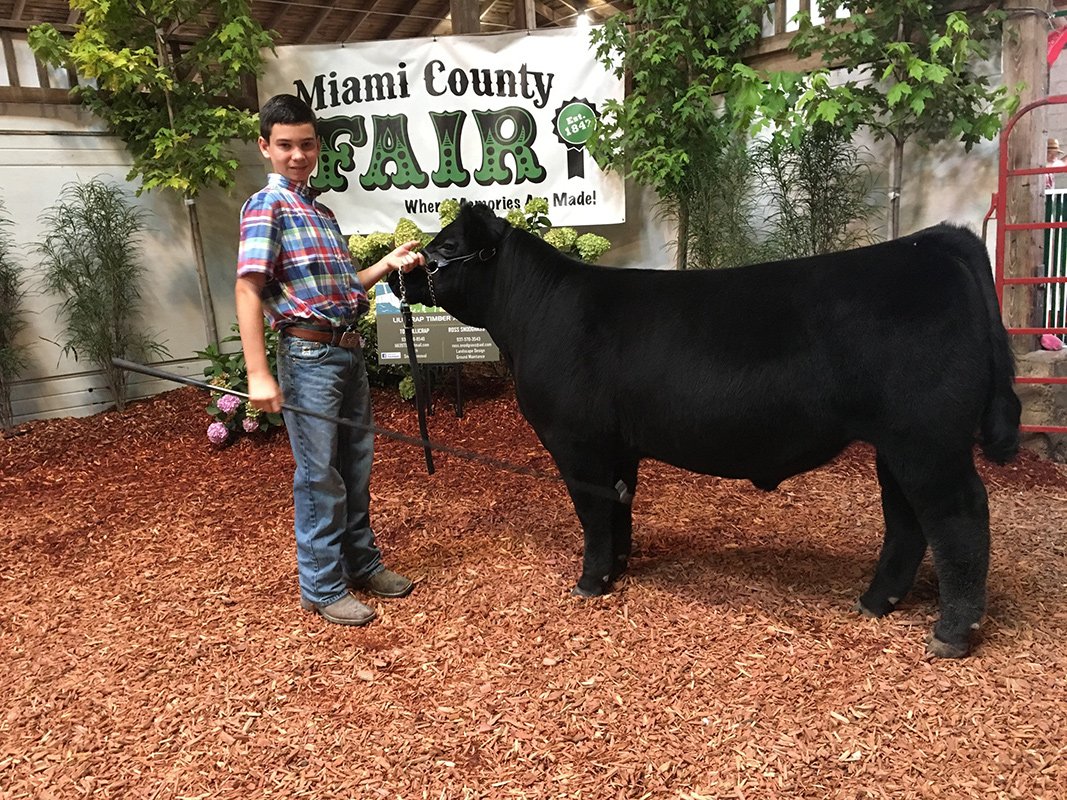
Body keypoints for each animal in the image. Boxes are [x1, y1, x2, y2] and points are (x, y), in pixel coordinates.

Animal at [388, 202, 1021, 658]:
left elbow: (593, 509)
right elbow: (619, 505)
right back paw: (875, 600)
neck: (532, 314)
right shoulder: (618, 445)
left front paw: (590, 581)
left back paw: (951, 632)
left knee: (958, 516)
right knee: (907, 518)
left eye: (447, 247)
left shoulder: (577, 441)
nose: (403, 272)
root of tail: (930, 242)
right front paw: (618, 567)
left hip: (928, 439)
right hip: (896, 443)